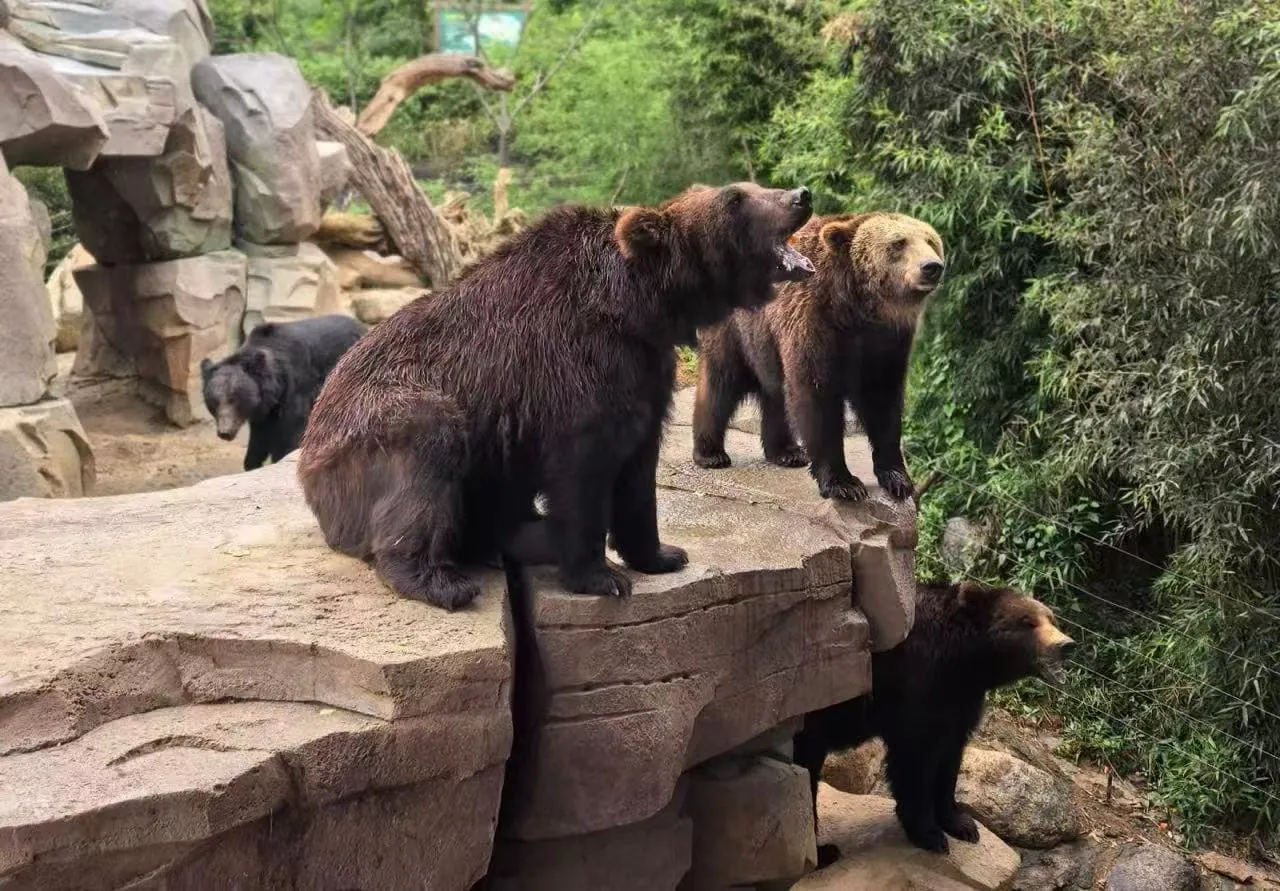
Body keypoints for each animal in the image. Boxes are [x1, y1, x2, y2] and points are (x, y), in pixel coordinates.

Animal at [201, 315, 366, 471]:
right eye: (214, 402)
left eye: (234, 398)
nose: (225, 432)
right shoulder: (265, 409)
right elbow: (259, 436)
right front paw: (252, 463)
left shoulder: (297, 389)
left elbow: (289, 432)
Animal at [296, 182, 815, 611]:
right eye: (736, 198)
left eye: (753, 187)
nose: (800, 196)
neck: (637, 306)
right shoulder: (568, 372)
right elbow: (581, 473)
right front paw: (600, 576)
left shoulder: (645, 371)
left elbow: (638, 469)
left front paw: (662, 553)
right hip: (374, 428)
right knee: (425, 453)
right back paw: (439, 580)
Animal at [691, 211, 945, 502]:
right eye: (899, 242)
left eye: (931, 241)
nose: (932, 266)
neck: (857, 308)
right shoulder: (816, 321)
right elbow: (817, 396)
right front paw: (844, 483)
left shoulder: (887, 340)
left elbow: (882, 400)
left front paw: (897, 479)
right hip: (736, 328)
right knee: (721, 382)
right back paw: (710, 453)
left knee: (776, 392)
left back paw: (787, 452)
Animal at [792, 579, 1074, 863]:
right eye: (1028, 622)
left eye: (1052, 619)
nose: (1066, 645)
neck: (963, 661)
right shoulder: (915, 688)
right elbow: (916, 763)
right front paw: (930, 834)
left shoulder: (959, 699)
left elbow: (950, 756)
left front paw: (962, 824)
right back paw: (824, 851)